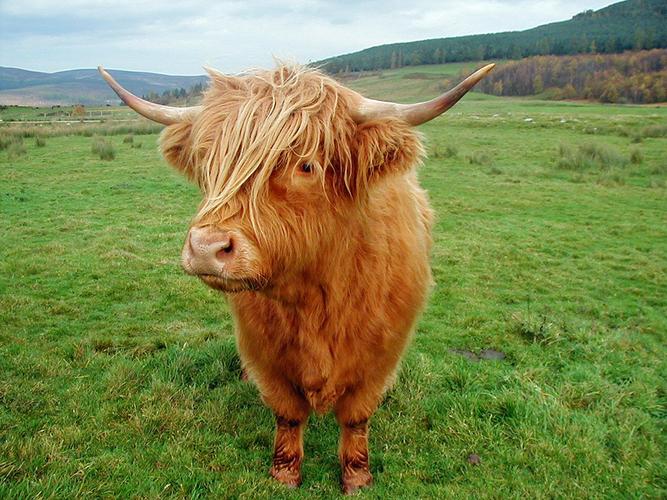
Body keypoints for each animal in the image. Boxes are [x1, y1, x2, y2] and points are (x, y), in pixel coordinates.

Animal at [99, 62, 494, 494]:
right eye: (208, 161)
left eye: (306, 165)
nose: (206, 248)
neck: (318, 293)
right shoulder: (264, 350)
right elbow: (287, 413)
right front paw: (284, 473)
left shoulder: (380, 353)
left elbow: (356, 417)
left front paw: (357, 477)